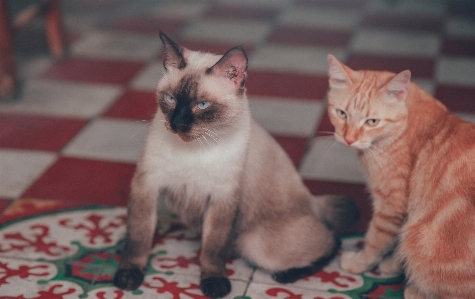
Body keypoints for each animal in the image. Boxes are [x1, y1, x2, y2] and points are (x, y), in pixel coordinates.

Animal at [113, 31, 356, 298]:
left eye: (202, 105)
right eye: (171, 99)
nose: (178, 124)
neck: (194, 150)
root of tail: (313, 201)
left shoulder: (222, 198)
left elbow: (213, 249)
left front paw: (214, 283)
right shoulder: (147, 186)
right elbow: (138, 237)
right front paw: (129, 275)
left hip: (256, 243)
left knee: (333, 242)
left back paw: (286, 275)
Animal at [330, 54, 475, 299]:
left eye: (372, 122)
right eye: (341, 114)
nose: (349, 139)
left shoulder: (390, 205)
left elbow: (375, 240)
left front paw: (360, 263)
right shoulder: (407, 210)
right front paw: (394, 264)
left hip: (422, 238)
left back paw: (416, 290)